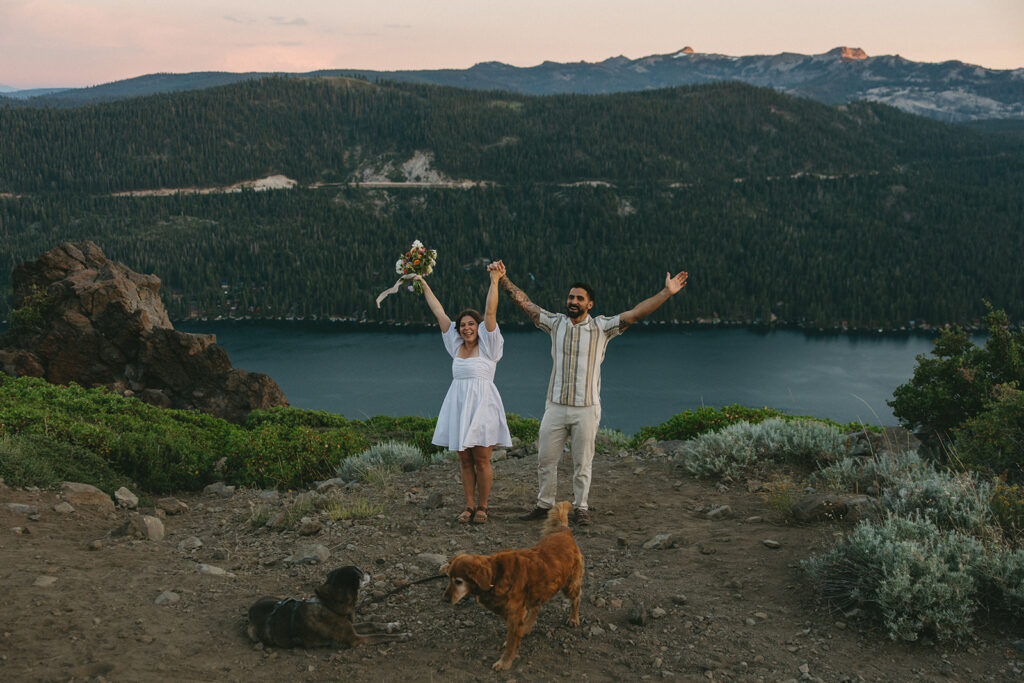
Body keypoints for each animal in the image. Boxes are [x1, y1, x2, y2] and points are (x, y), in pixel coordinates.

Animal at [245, 565, 409, 651]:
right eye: (361, 574)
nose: (369, 572)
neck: (329, 605)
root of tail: (251, 611)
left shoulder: (352, 626)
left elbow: (372, 623)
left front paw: (391, 624)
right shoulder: (356, 639)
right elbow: (381, 636)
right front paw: (402, 635)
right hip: (253, 634)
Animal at [442, 505, 581, 671]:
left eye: (458, 581)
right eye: (448, 578)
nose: (445, 599)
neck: (495, 576)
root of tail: (564, 531)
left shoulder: (515, 614)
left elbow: (511, 643)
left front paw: (504, 662)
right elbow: (513, 637)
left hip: (569, 584)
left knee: (576, 598)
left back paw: (573, 618)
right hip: (539, 588)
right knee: (536, 608)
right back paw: (527, 628)